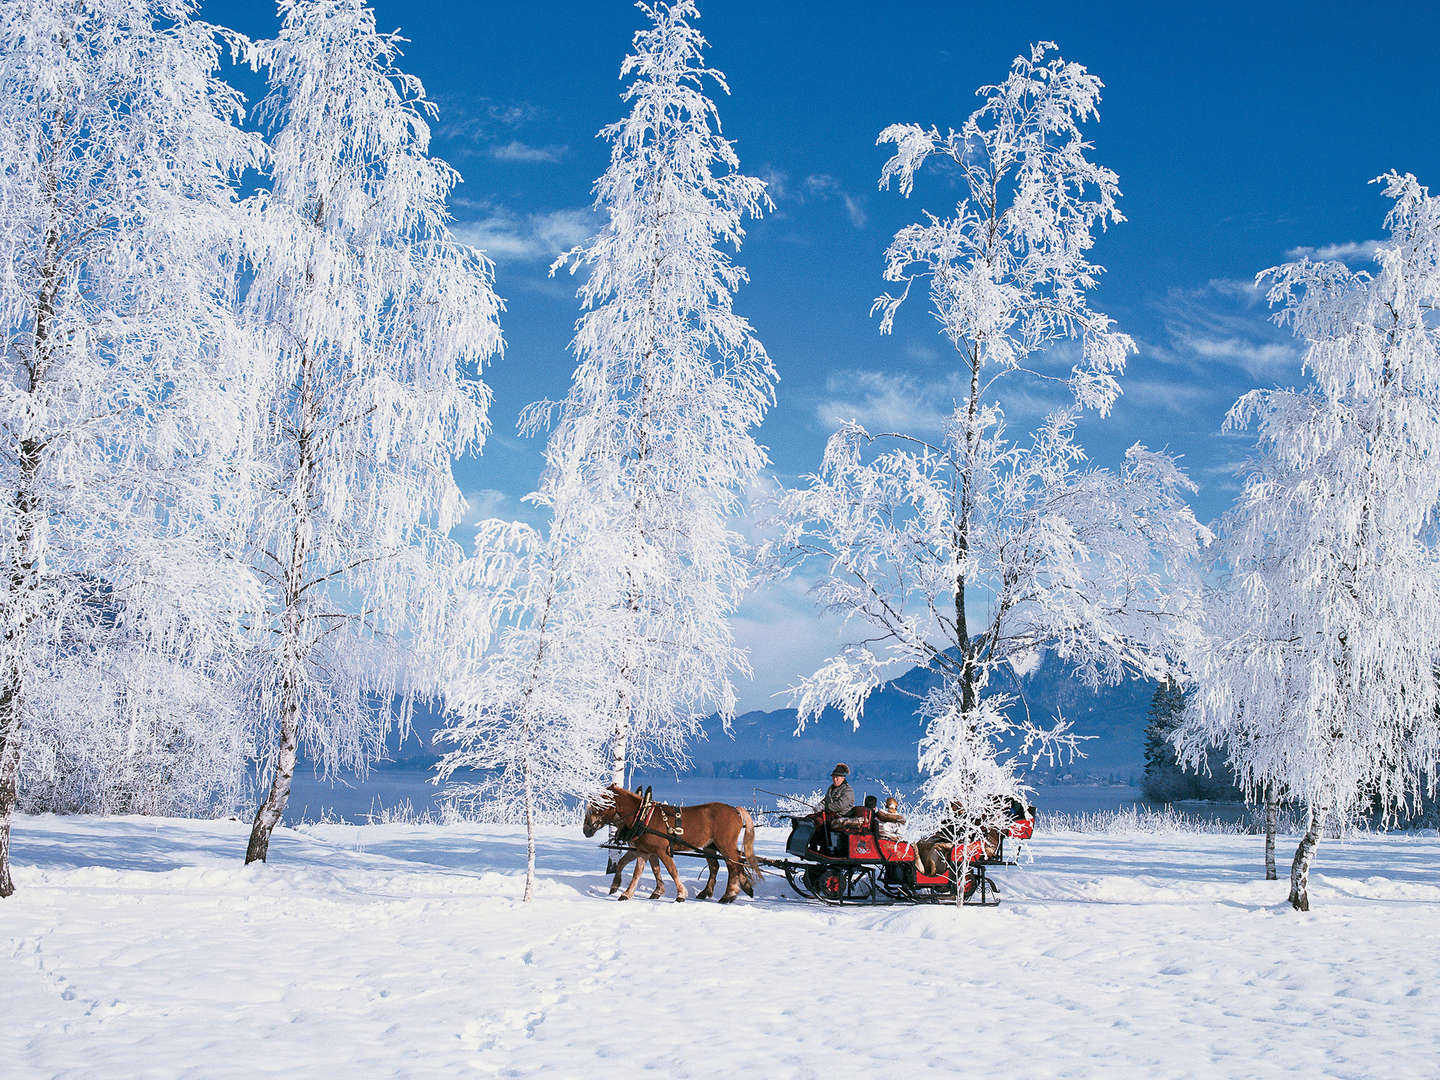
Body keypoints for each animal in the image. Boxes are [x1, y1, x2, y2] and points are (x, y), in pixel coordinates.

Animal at [578, 789, 766, 904]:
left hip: (725, 845)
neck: (642, 816)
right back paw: (708, 892)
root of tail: (735, 810)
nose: (586, 829)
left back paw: (729, 895)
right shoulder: (645, 851)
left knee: (734, 865)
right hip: (710, 846)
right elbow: (641, 870)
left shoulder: (661, 850)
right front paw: (624, 891)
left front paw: (681, 895)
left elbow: (671, 870)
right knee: (717, 866)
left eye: (597, 805)